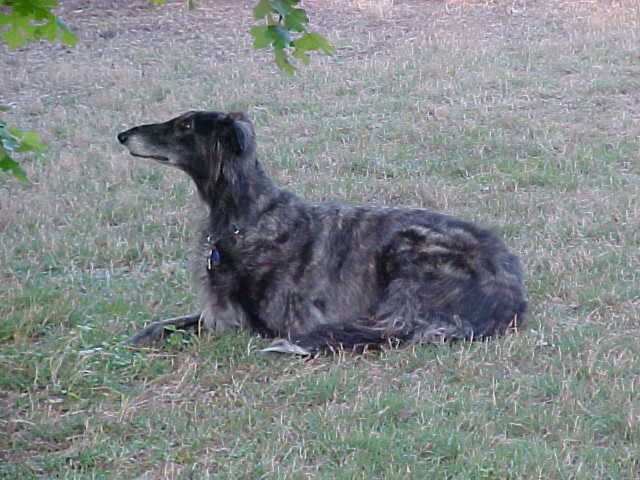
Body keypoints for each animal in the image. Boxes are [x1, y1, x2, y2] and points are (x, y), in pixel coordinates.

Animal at [117, 110, 528, 354]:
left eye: (186, 125)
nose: (122, 134)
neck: (244, 218)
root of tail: (511, 290)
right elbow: (165, 324)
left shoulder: (252, 322)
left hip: (410, 251)